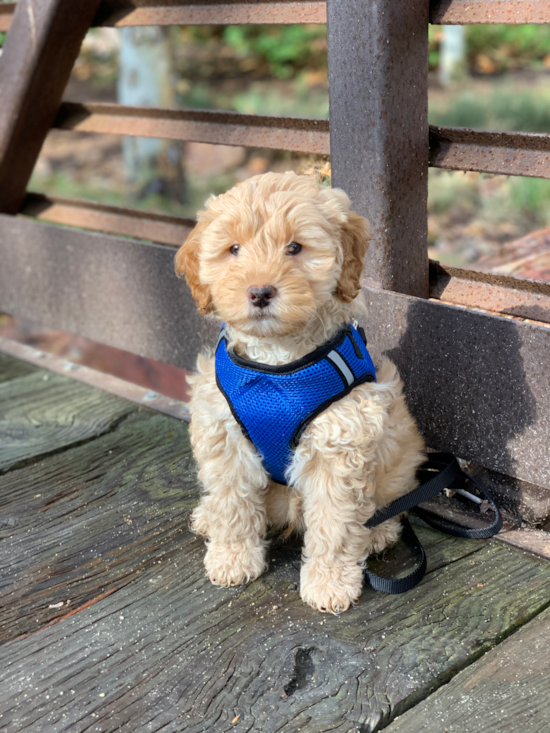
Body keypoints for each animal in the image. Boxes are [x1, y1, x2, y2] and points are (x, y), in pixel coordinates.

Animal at [177, 172, 426, 612]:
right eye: (233, 249)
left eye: (295, 247)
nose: (260, 292)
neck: (276, 366)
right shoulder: (223, 433)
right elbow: (232, 502)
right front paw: (232, 557)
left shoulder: (339, 444)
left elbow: (335, 523)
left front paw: (329, 582)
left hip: (396, 467)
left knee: (385, 508)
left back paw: (377, 533)